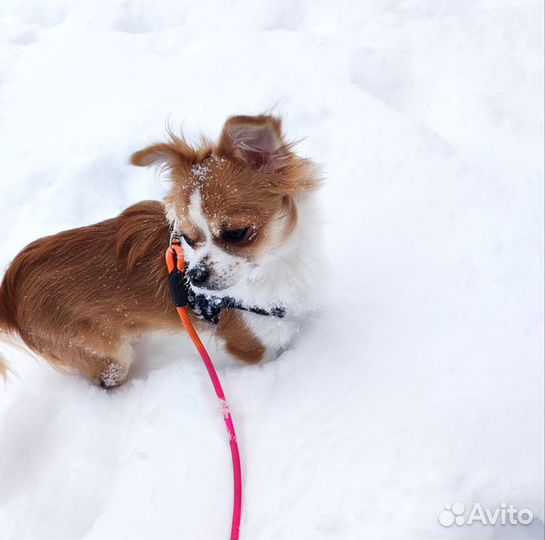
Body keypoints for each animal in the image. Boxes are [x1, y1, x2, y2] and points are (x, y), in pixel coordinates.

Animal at [0, 114, 320, 386]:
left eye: (236, 233)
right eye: (188, 238)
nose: (195, 276)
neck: (275, 265)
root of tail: (10, 292)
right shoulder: (253, 345)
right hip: (107, 357)